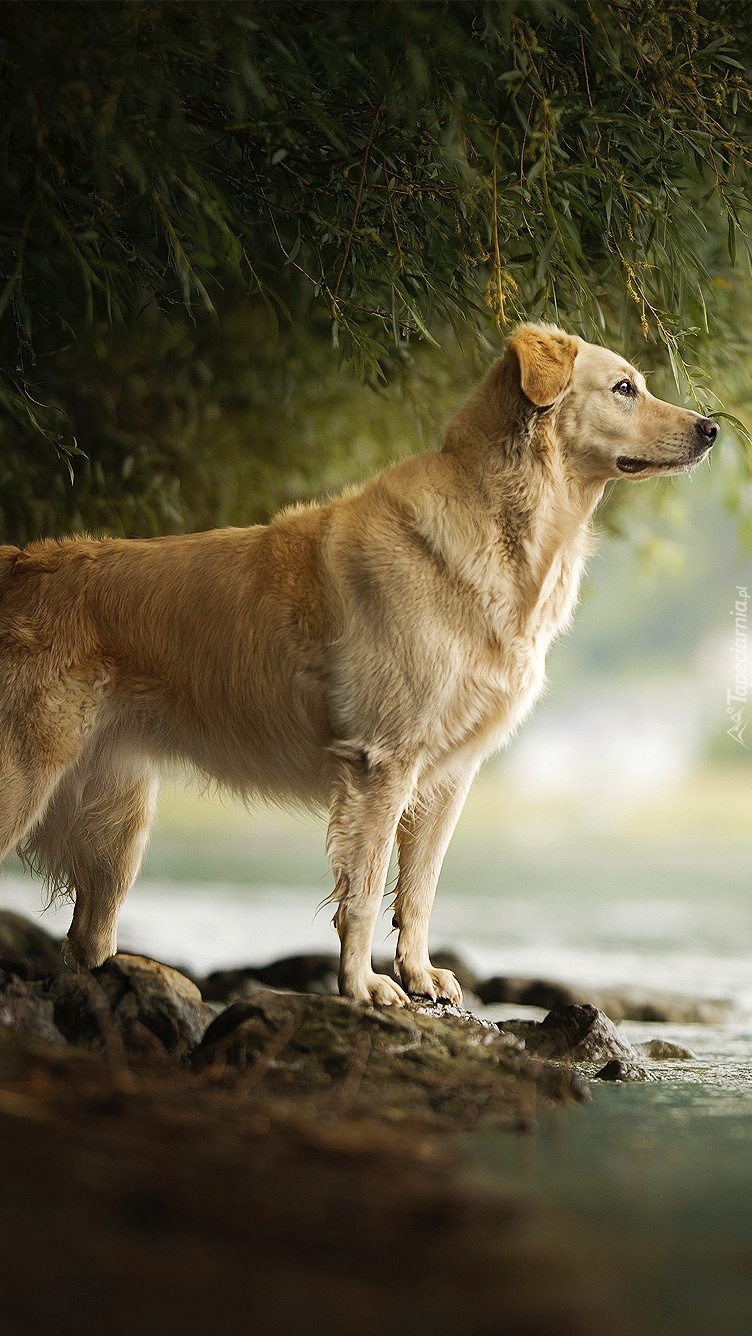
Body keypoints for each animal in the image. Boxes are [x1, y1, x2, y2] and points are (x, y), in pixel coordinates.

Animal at [0, 325, 715, 1004]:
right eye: (624, 388)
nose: (710, 429)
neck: (505, 530)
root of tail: (16, 563)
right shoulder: (383, 764)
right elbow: (367, 890)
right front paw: (365, 987)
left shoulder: (448, 774)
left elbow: (420, 888)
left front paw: (420, 976)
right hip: (26, 781)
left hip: (117, 831)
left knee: (88, 941)